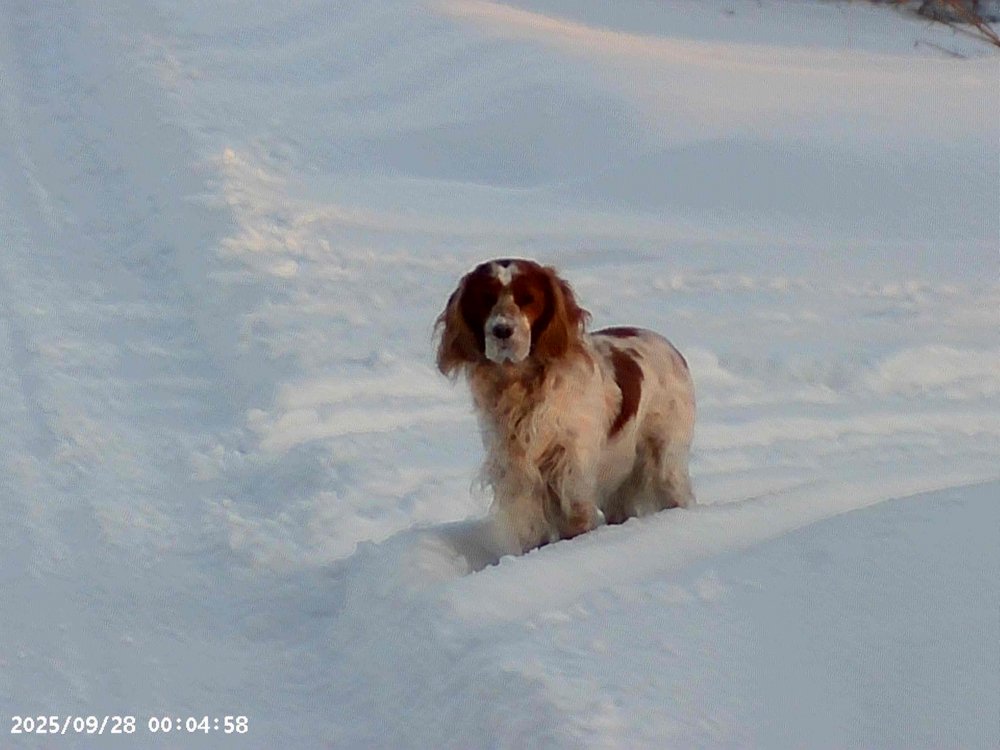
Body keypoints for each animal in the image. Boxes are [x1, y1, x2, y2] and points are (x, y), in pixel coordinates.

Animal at [436, 258, 695, 554]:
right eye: (486, 298)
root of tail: (670, 347)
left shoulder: (570, 469)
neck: (522, 385)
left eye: (528, 298)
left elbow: (576, 520)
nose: (501, 330)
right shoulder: (516, 474)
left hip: (666, 462)